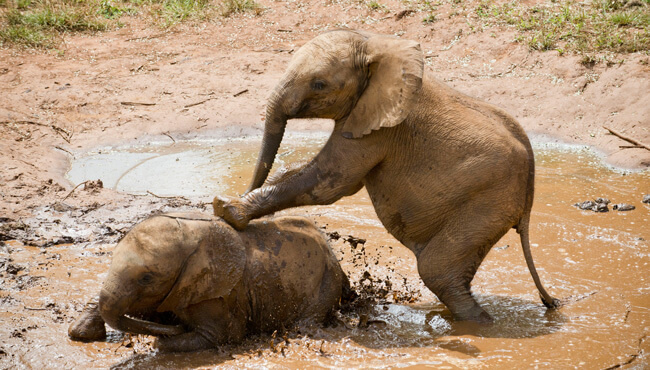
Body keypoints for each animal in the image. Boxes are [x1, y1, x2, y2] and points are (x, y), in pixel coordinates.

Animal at [69, 212, 352, 352]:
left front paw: (163, 338)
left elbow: (222, 335)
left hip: (326, 282)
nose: (173, 324)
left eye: (146, 278)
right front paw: (81, 332)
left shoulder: (219, 295)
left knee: (306, 322)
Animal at [215, 30, 560, 322]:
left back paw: (481, 325)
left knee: (437, 271)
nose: (237, 192)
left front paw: (227, 210)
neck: (374, 46)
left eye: (319, 84)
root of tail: (529, 193)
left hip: (489, 203)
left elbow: (330, 182)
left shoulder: (381, 129)